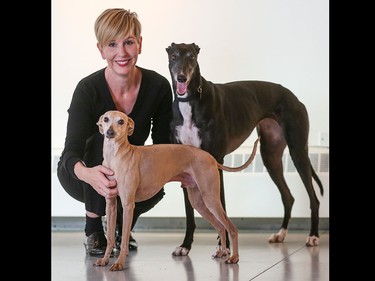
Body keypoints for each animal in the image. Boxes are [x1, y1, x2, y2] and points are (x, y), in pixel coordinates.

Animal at [94, 109, 258, 270]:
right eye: (106, 119)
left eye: (121, 121)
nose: (109, 132)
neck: (115, 156)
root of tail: (211, 158)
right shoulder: (111, 203)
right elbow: (110, 237)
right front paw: (105, 259)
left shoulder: (128, 204)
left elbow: (123, 240)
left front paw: (119, 263)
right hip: (198, 202)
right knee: (220, 227)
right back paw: (221, 252)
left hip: (211, 199)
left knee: (231, 229)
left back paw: (234, 257)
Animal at [166, 42, 324, 255]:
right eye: (174, 56)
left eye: (191, 56)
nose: (182, 77)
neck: (190, 101)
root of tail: (293, 96)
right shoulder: (186, 165)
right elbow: (189, 213)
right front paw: (185, 246)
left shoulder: (217, 161)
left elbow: (222, 206)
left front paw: (223, 247)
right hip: (270, 156)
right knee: (288, 196)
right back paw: (280, 234)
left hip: (297, 151)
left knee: (313, 198)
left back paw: (313, 236)